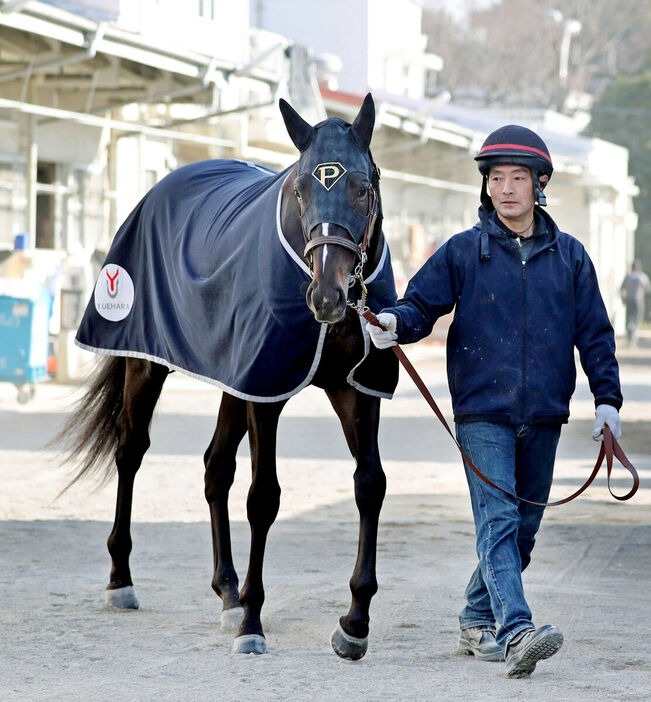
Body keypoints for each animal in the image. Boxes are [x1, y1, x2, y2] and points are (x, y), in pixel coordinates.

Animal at [58, 93, 400, 660]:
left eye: (362, 187)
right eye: (301, 189)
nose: (327, 297)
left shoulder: (352, 389)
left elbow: (370, 485)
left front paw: (354, 622)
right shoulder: (266, 393)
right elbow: (263, 498)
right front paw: (253, 625)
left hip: (233, 380)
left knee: (215, 466)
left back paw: (227, 591)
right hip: (146, 364)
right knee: (130, 451)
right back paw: (121, 579)